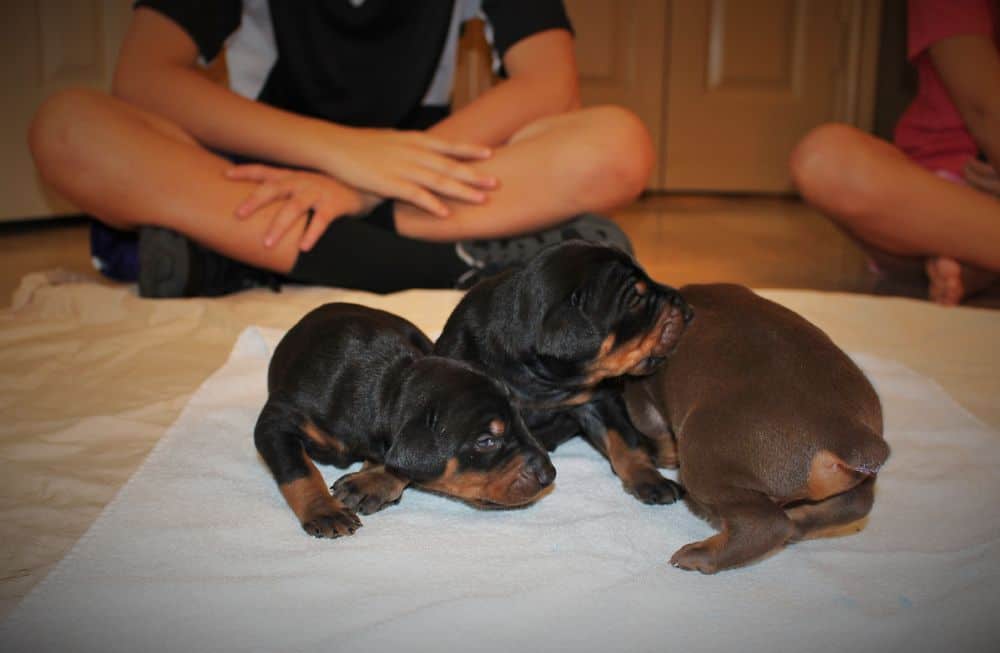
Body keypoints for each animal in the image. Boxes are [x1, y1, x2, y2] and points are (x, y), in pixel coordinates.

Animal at [254, 304, 556, 536]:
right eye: (486, 441)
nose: (549, 475)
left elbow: (398, 463)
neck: (387, 384)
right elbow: (298, 470)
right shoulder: (278, 419)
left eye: (520, 419)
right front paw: (325, 511)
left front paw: (372, 482)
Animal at [434, 242, 692, 502]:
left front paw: (650, 479)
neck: (541, 382)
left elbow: (626, 441)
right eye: (636, 300)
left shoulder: (599, 401)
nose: (688, 309)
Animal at [624, 284, 892, 572]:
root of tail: (847, 430)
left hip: (704, 460)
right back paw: (800, 521)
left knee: (766, 524)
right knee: (856, 503)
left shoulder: (642, 394)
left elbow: (653, 426)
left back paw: (698, 555)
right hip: (860, 478)